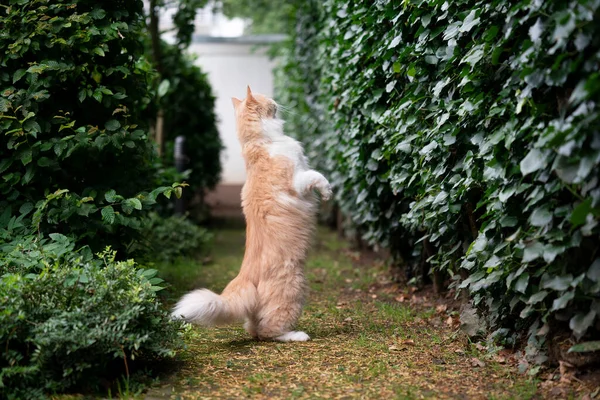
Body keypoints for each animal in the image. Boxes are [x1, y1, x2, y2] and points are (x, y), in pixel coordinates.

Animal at [171, 86, 332, 342]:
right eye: (266, 98)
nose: (276, 99)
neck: (261, 141)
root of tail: (244, 277)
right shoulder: (298, 181)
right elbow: (317, 176)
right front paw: (327, 192)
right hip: (294, 290)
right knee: (268, 331)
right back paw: (296, 335)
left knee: (255, 329)